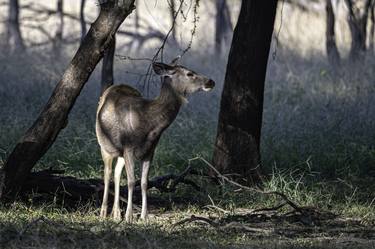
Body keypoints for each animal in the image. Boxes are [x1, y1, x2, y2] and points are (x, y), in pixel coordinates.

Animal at [95, 60, 216, 222]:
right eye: (189, 73)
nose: (211, 81)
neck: (149, 124)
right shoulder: (129, 147)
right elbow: (131, 181)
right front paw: (129, 216)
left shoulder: (150, 150)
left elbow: (144, 182)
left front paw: (143, 216)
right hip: (104, 145)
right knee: (107, 174)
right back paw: (103, 213)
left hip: (120, 153)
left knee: (116, 172)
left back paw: (116, 214)